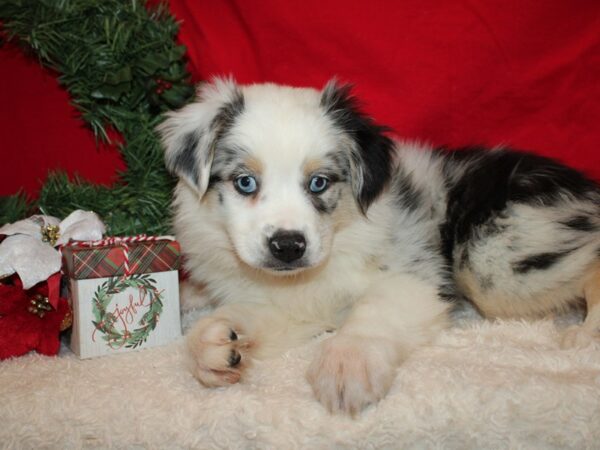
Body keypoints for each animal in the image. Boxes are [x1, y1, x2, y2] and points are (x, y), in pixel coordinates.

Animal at [156, 77, 600, 414]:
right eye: (245, 182)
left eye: (319, 182)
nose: (288, 246)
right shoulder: (292, 307)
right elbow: (232, 324)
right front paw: (215, 343)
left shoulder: (416, 278)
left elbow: (373, 311)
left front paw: (346, 364)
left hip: (499, 259)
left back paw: (584, 333)